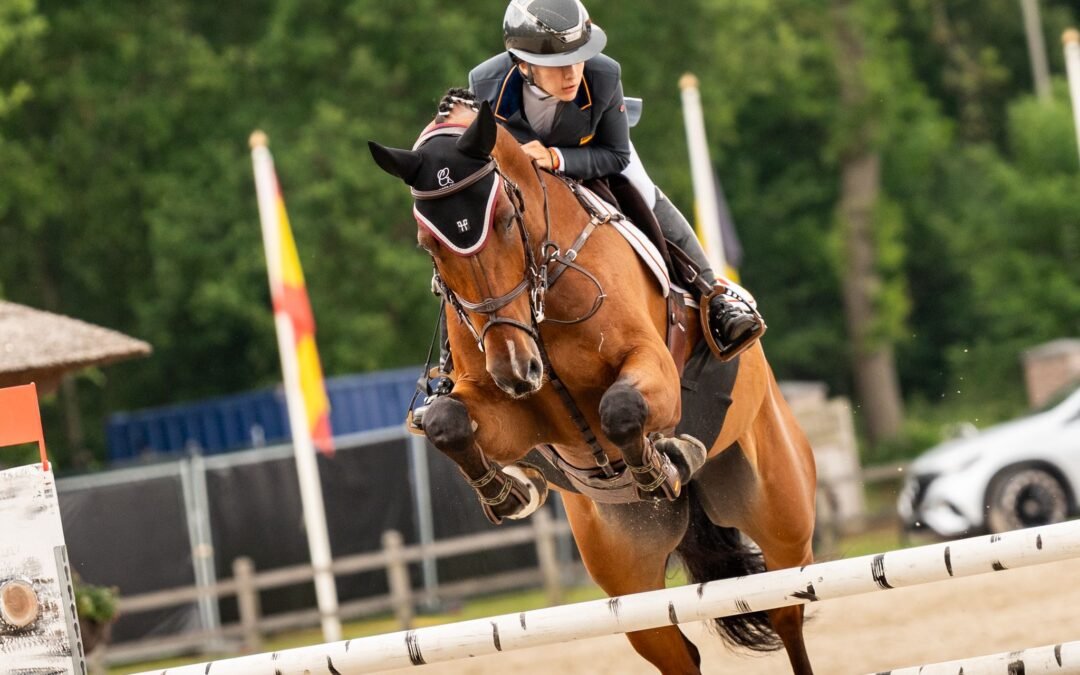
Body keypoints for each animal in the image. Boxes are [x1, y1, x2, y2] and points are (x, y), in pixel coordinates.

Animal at [369, 96, 818, 675]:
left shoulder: (652, 369)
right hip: (631, 590)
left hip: (782, 522)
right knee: (679, 653)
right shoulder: (517, 415)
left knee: (786, 612)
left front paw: (663, 466)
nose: (516, 371)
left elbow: (621, 409)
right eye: (429, 244)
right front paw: (511, 493)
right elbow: (448, 422)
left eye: (507, 220)